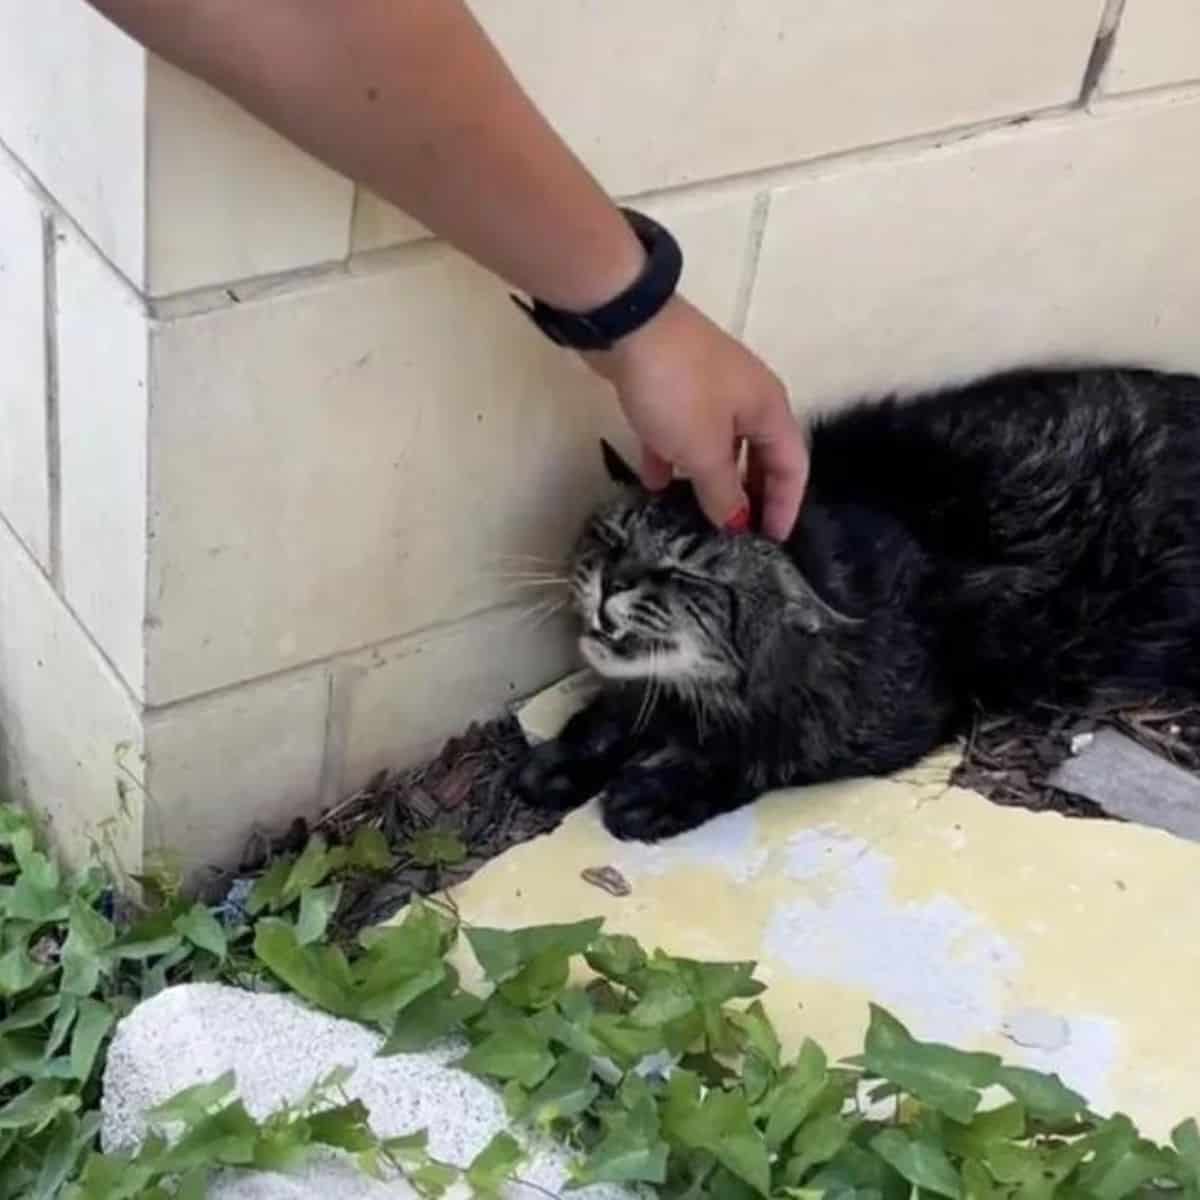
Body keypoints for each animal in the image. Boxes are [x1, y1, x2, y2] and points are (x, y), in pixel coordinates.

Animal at [513, 364, 1200, 844]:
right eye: (611, 536)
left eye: (685, 572)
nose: (614, 581)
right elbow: (609, 716)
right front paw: (569, 758)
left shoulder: (897, 716)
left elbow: (769, 752)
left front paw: (663, 788)